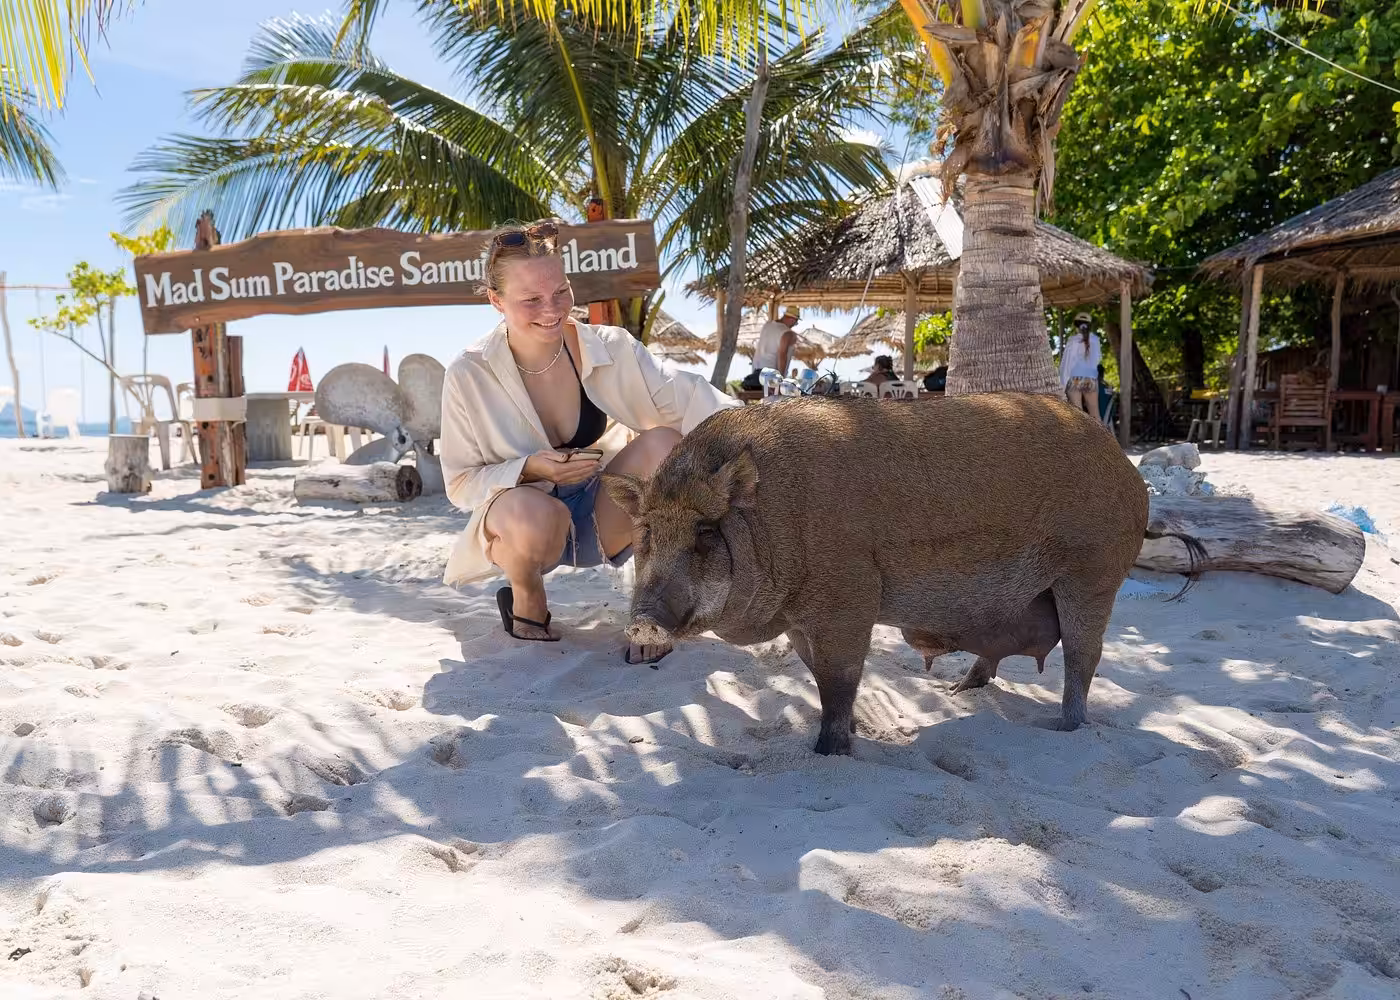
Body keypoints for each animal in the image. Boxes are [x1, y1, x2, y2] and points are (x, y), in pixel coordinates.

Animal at [603, 392, 1204, 755]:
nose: (642, 619)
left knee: (1085, 657)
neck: (778, 517)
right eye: (647, 533)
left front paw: (830, 752)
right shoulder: (802, 619)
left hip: (1093, 571)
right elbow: (817, 678)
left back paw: (1064, 728)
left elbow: (840, 681)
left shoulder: (851, 596)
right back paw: (960, 692)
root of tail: (1130, 474)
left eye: (706, 532)